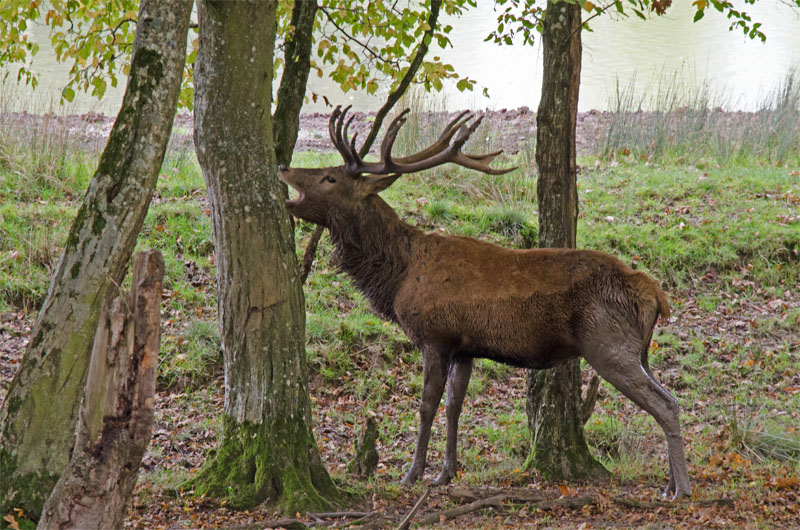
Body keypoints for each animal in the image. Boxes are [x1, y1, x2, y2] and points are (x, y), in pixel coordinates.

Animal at [279, 106, 692, 500]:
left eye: (330, 178)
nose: (283, 167)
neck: (399, 277)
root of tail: (654, 294)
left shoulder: (435, 336)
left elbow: (426, 405)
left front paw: (412, 474)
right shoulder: (465, 347)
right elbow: (453, 406)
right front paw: (445, 473)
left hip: (607, 343)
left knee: (666, 405)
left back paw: (681, 489)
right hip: (639, 350)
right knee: (669, 397)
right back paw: (670, 483)